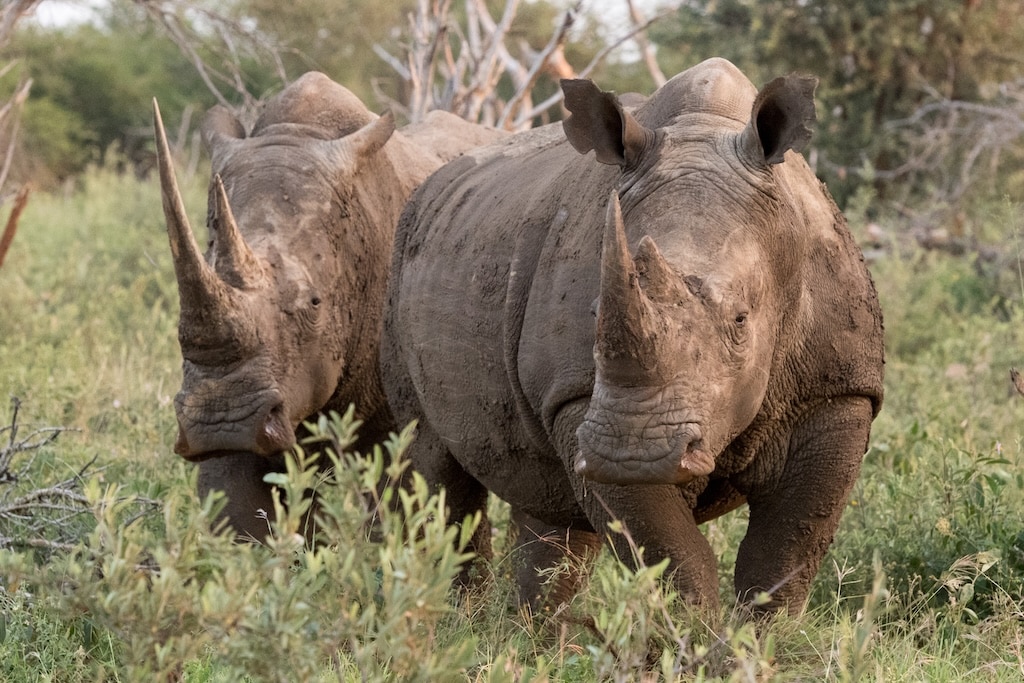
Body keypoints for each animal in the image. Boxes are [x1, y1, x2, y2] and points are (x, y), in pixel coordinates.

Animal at [381, 58, 884, 612]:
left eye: (740, 321)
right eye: (595, 313)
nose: (632, 452)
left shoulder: (839, 390)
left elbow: (783, 556)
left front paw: (759, 635)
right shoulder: (576, 400)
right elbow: (674, 558)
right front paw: (698, 636)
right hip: (400, 259)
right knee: (433, 467)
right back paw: (451, 619)